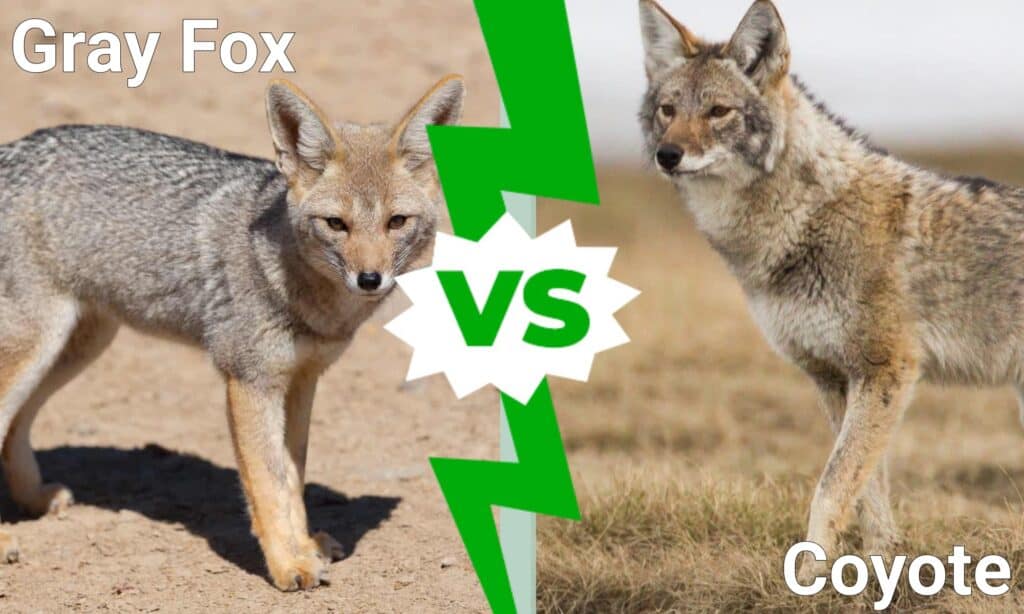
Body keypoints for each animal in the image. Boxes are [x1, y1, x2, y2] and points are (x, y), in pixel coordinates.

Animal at [0, 74, 464, 590]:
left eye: (396, 222)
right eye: (336, 224)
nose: (370, 279)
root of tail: (10, 150)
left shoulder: (301, 380)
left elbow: (292, 476)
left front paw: (305, 546)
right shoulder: (248, 381)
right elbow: (267, 481)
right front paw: (289, 565)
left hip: (78, 346)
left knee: (15, 426)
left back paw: (34, 499)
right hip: (36, 346)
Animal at [639, 0, 1024, 583]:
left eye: (719, 112)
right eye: (667, 109)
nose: (667, 155)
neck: (798, 224)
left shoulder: (885, 371)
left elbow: (831, 487)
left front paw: (806, 577)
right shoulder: (831, 377)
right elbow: (867, 496)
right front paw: (881, 567)